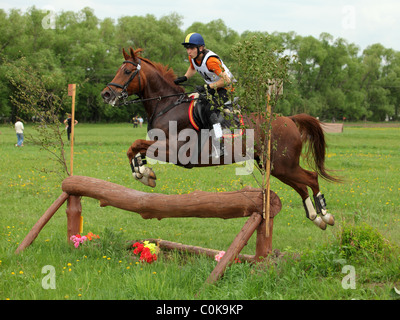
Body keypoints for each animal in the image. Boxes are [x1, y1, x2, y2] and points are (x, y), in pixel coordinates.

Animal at [101, 47, 340, 229]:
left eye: (127, 71)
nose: (106, 94)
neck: (167, 106)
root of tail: (288, 119)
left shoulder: (176, 149)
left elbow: (136, 146)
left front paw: (143, 173)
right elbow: (136, 149)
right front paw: (143, 172)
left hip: (283, 164)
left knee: (311, 178)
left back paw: (325, 214)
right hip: (272, 165)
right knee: (301, 185)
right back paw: (316, 217)